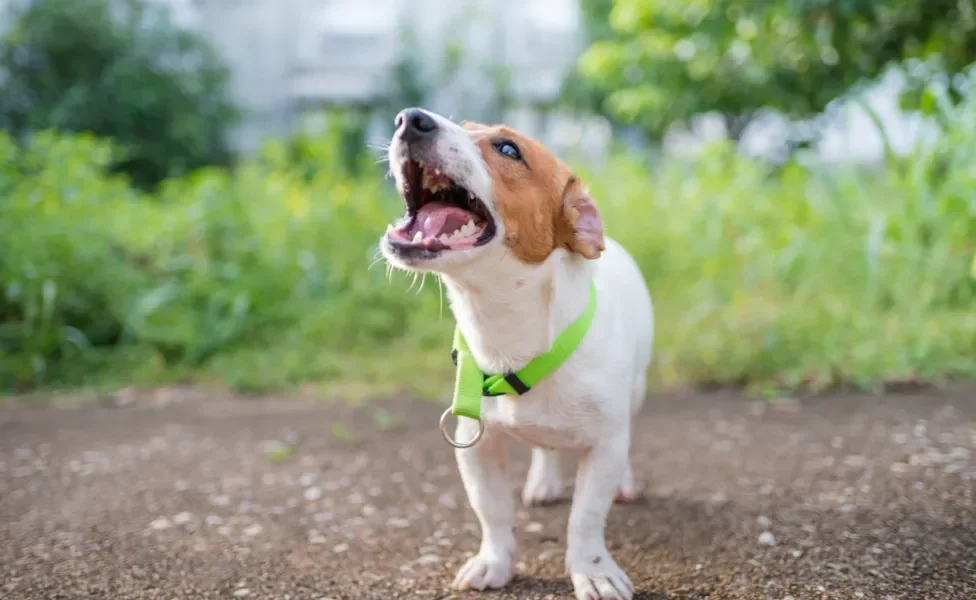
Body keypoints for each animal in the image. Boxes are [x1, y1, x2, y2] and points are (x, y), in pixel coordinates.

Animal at [378, 108, 652, 600]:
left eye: (508, 149)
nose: (410, 119)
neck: (510, 338)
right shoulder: (474, 445)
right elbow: (492, 511)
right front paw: (495, 562)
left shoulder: (604, 444)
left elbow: (586, 517)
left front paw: (593, 570)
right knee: (546, 449)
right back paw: (544, 481)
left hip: (634, 395)